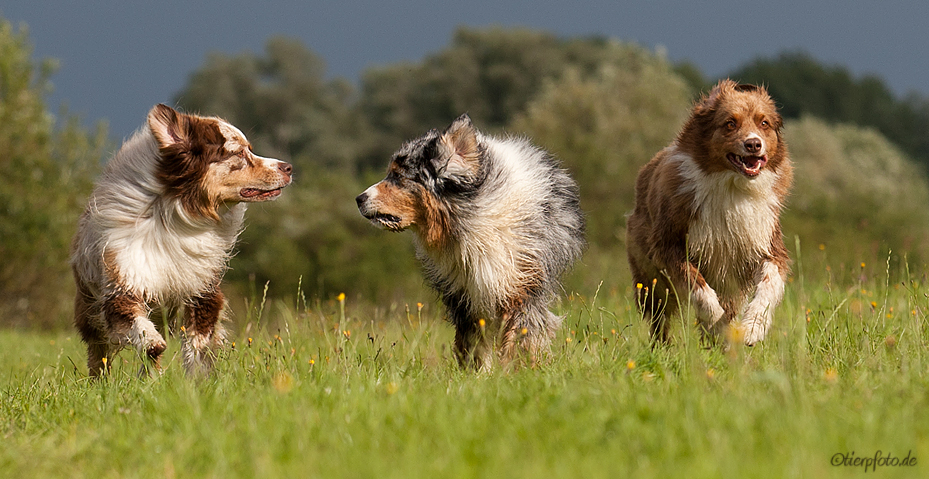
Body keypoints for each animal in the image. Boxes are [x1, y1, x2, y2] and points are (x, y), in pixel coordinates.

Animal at [70, 103, 292, 376]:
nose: (288, 167)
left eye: (249, 149)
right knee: (98, 354)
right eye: (239, 153)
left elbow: (198, 344)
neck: (178, 216)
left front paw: (197, 379)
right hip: (89, 308)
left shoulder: (202, 292)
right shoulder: (122, 286)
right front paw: (152, 344)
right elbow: (143, 333)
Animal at [358, 116, 584, 372]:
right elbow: (474, 341)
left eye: (397, 177)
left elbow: (522, 333)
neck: (469, 218)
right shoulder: (466, 295)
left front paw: (519, 370)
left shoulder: (522, 285)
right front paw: (478, 373)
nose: (358, 199)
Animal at [624, 80, 792, 346]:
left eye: (763, 123)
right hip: (649, 277)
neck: (733, 188)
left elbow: (768, 285)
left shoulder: (766, 246)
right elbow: (699, 289)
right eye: (730, 123)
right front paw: (717, 325)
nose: (753, 144)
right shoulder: (669, 246)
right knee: (660, 317)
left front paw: (753, 327)